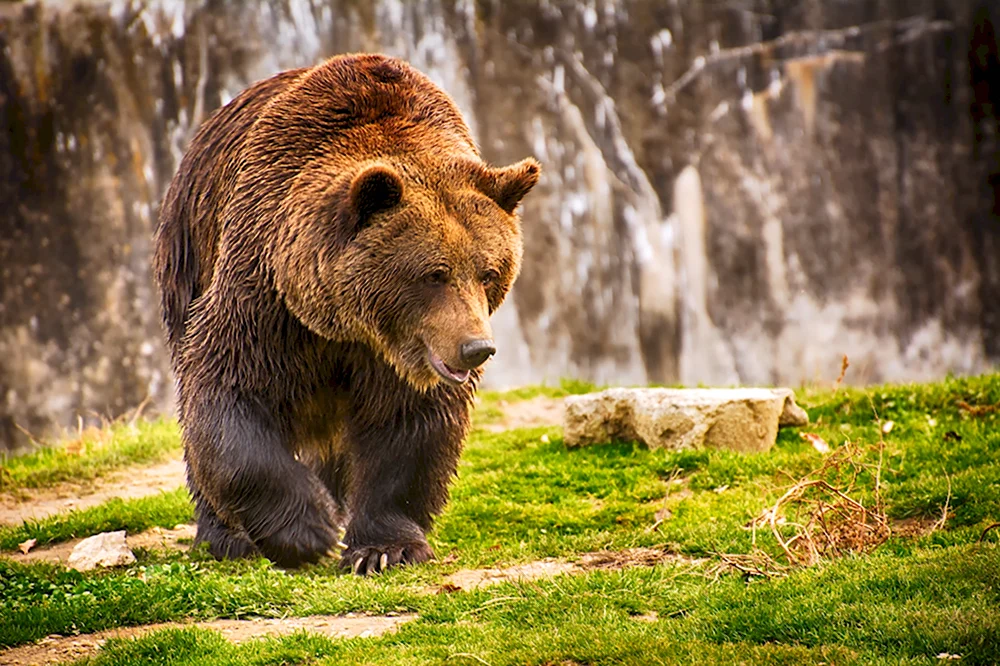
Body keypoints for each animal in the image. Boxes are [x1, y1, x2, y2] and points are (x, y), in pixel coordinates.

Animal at [152, 53, 540, 572]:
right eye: (435, 273)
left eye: (489, 272)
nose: (476, 348)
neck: (345, 324)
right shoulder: (265, 296)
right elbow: (227, 392)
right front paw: (306, 529)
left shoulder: (400, 356)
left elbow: (408, 426)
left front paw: (383, 549)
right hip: (189, 250)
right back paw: (226, 536)